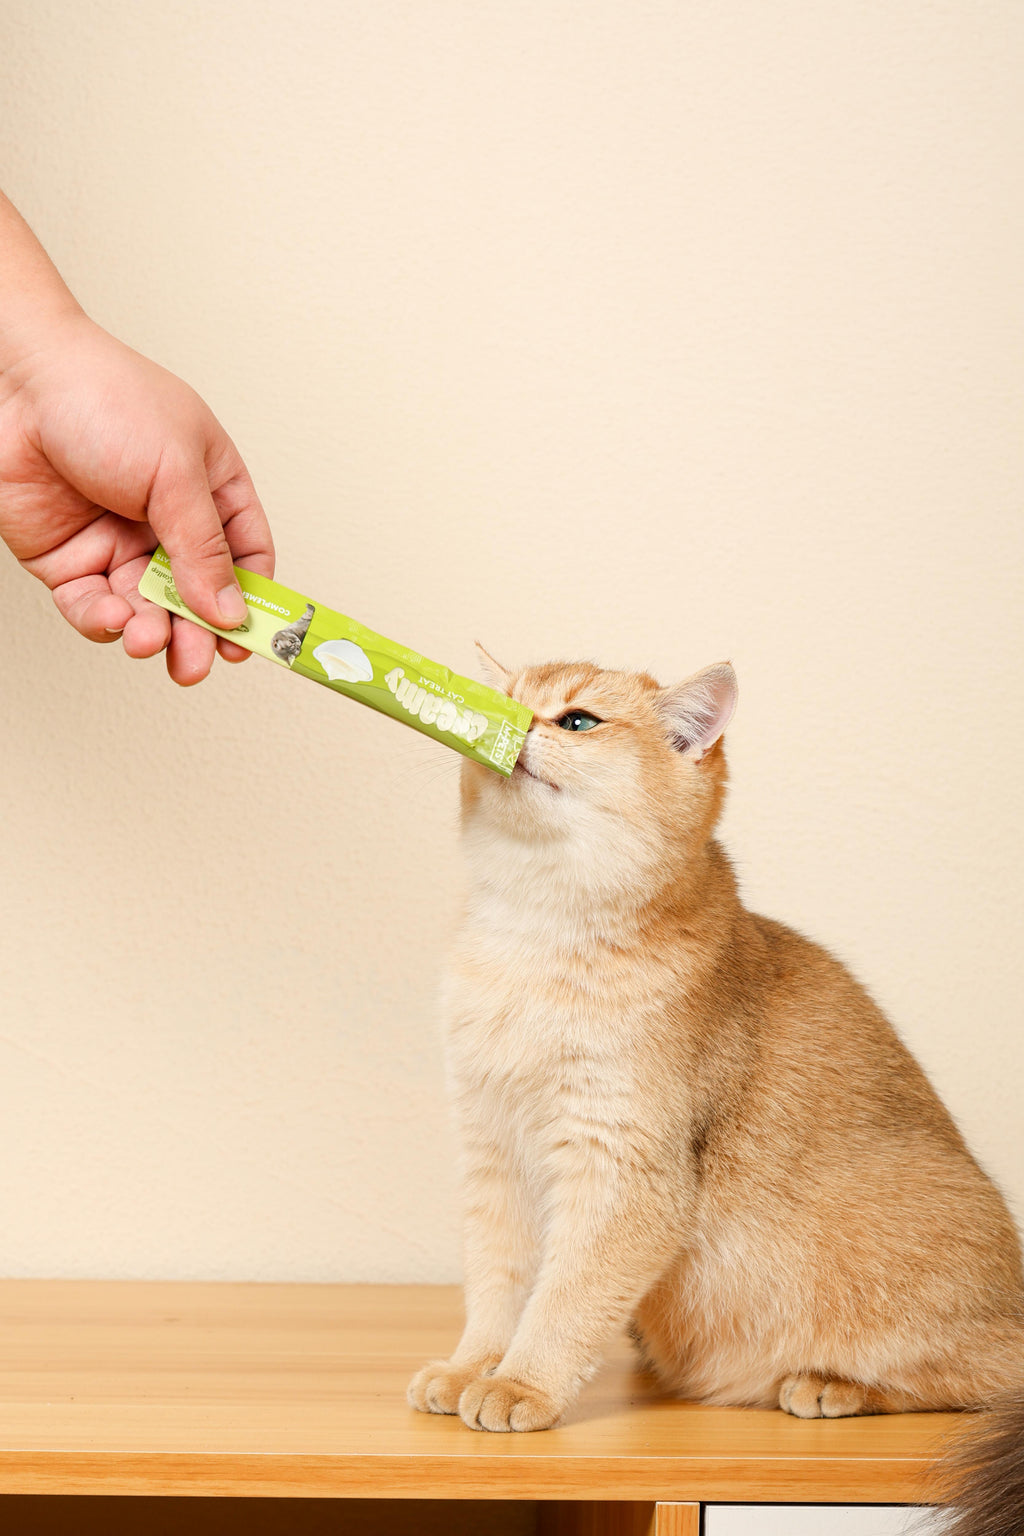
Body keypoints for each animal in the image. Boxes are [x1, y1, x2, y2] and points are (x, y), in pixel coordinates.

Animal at [408, 654, 1024, 1529]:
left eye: (578, 721)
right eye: (506, 698)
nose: (513, 725)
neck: (535, 934)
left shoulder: (626, 1168)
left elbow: (566, 1295)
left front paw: (521, 1383)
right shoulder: (495, 1150)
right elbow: (500, 1283)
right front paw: (474, 1365)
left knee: (992, 1374)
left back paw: (832, 1383)